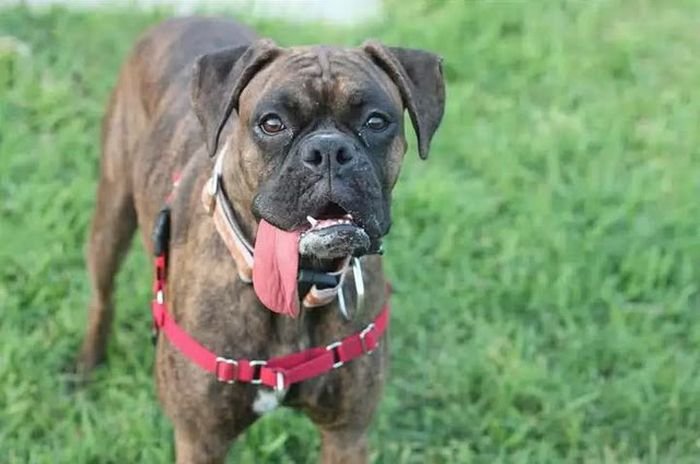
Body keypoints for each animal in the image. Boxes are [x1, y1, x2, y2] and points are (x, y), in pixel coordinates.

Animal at [75, 16, 442, 462]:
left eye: (376, 121)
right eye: (272, 123)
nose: (329, 151)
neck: (295, 282)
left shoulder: (346, 434)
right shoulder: (201, 440)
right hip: (112, 213)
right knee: (102, 296)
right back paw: (86, 369)